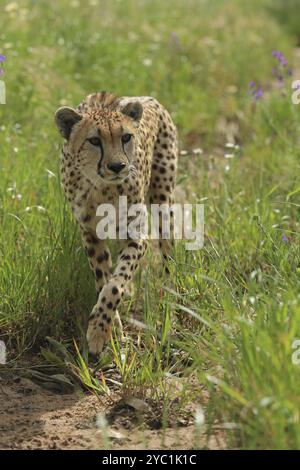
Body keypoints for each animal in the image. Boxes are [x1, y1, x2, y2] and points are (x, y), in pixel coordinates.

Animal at [54, 92, 178, 354]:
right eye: (94, 140)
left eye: (126, 137)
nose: (117, 166)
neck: (101, 187)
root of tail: (146, 97)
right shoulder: (90, 233)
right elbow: (104, 278)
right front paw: (111, 329)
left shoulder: (136, 233)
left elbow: (115, 283)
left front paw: (100, 330)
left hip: (163, 199)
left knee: (168, 251)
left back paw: (170, 295)